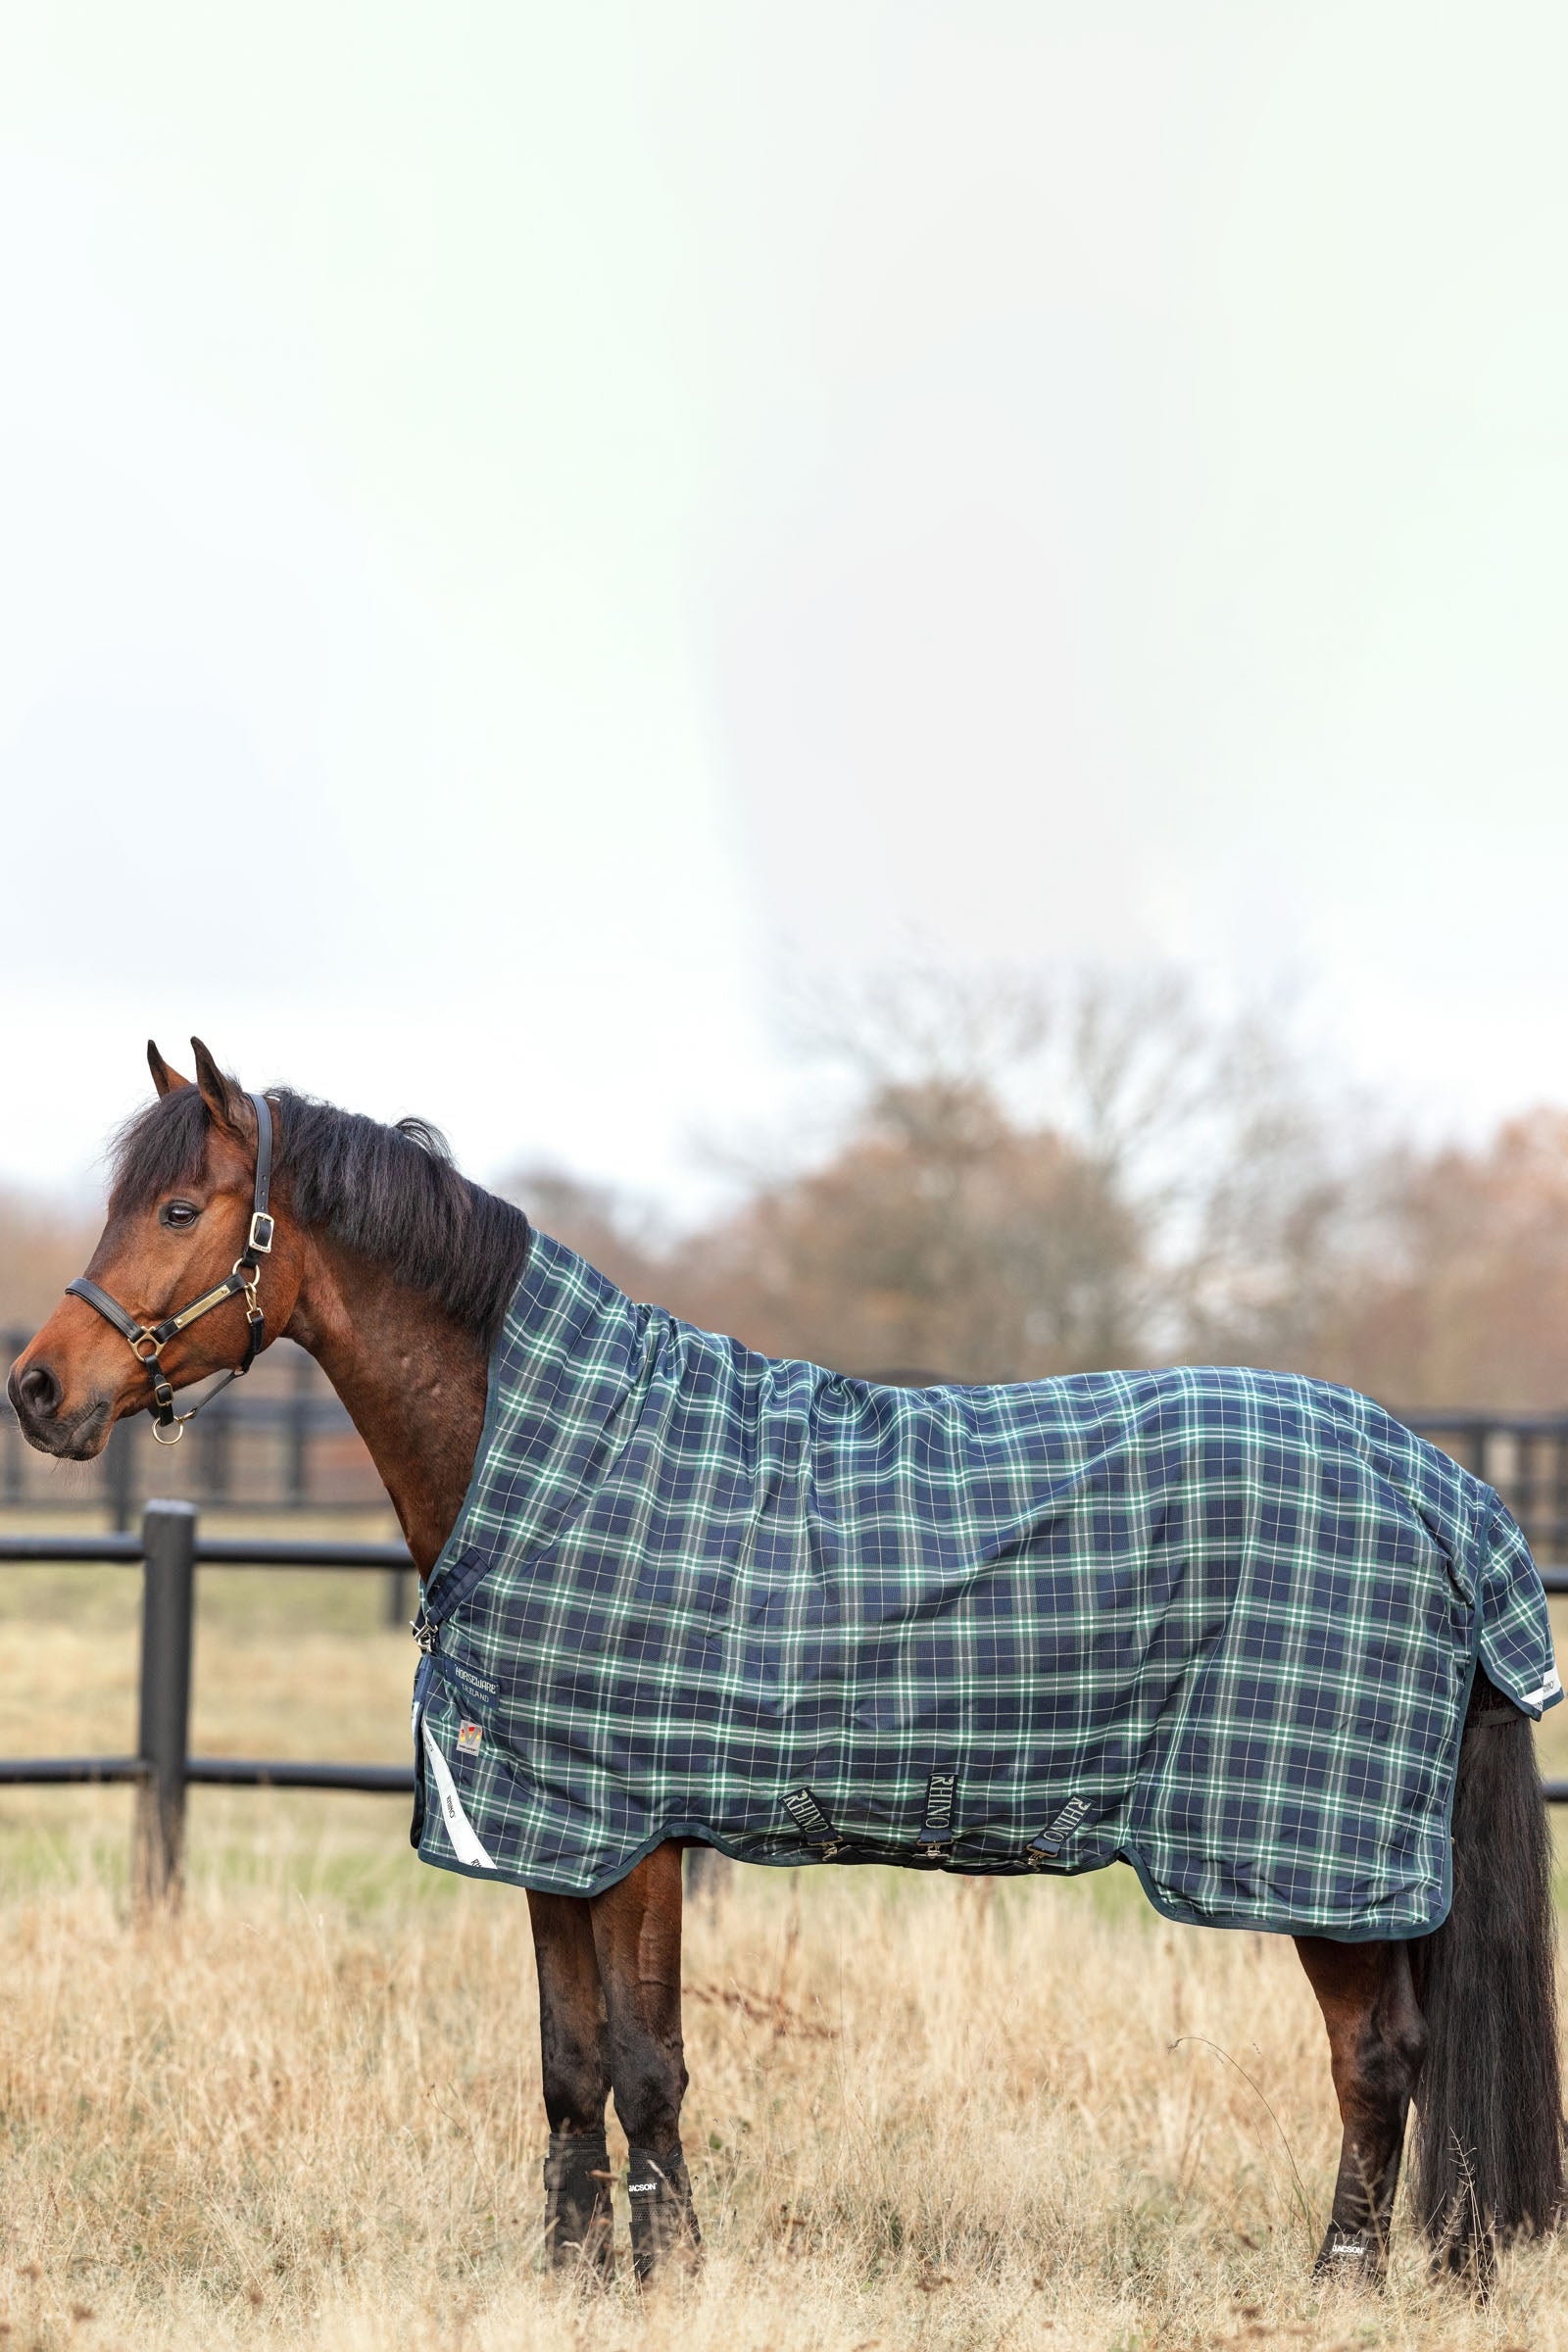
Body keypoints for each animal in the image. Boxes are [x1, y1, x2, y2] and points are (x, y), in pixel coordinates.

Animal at [7, 1039, 1562, 2292]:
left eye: (179, 1209)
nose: (38, 1389)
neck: (560, 1464)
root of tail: (1436, 1485)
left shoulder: (635, 1834)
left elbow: (646, 2065)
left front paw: (670, 2275)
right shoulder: (553, 1830)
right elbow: (571, 2067)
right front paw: (575, 2278)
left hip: (1316, 1861)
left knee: (1378, 2059)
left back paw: (1339, 2280)